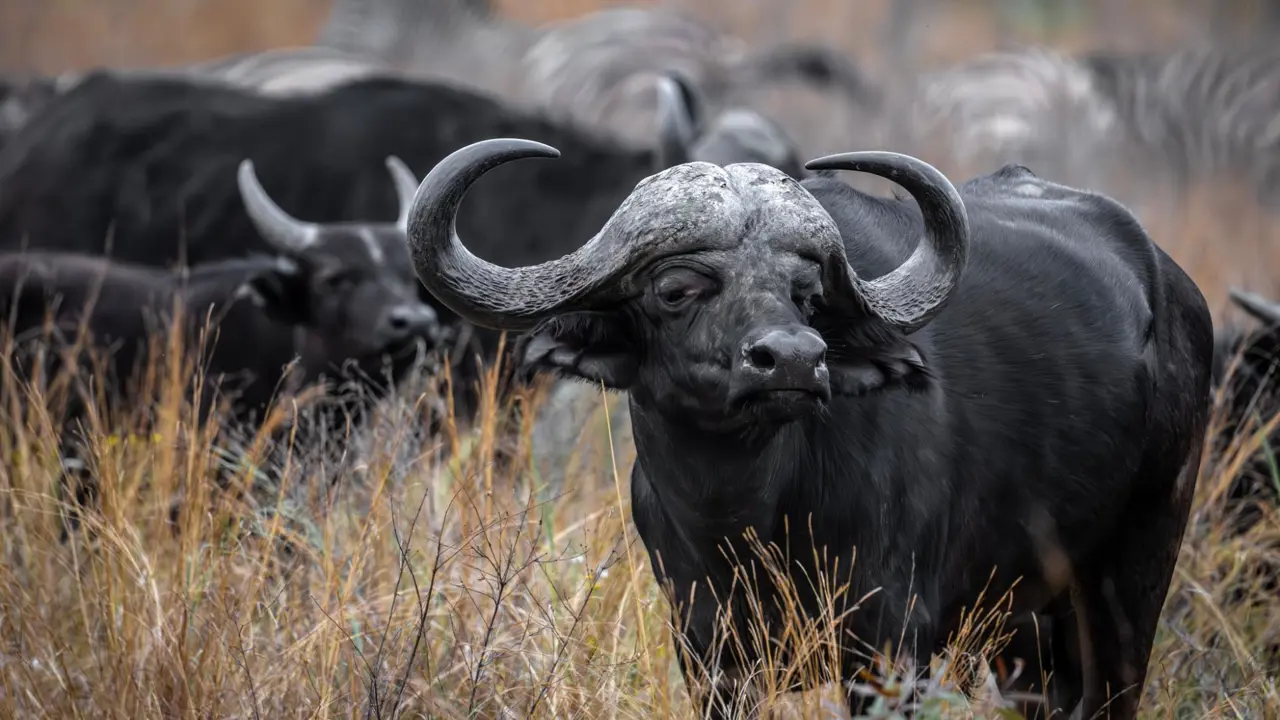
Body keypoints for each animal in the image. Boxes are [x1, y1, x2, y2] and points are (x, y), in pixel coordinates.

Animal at [403, 139, 1213, 719]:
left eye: (806, 293)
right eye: (676, 288)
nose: (793, 359)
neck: (750, 520)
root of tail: (1175, 293)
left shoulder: (892, 652)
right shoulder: (709, 657)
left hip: (1133, 575)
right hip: (1024, 626)